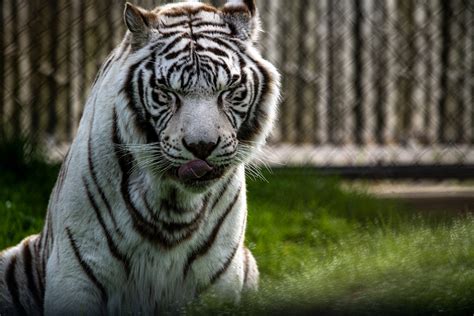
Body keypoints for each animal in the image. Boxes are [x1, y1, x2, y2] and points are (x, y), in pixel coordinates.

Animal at [0, 0, 280, 314]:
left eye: (229, 90)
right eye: (167, 92)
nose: (201, 146)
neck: (174, 205)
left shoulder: (218, 279)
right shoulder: (78, 272)